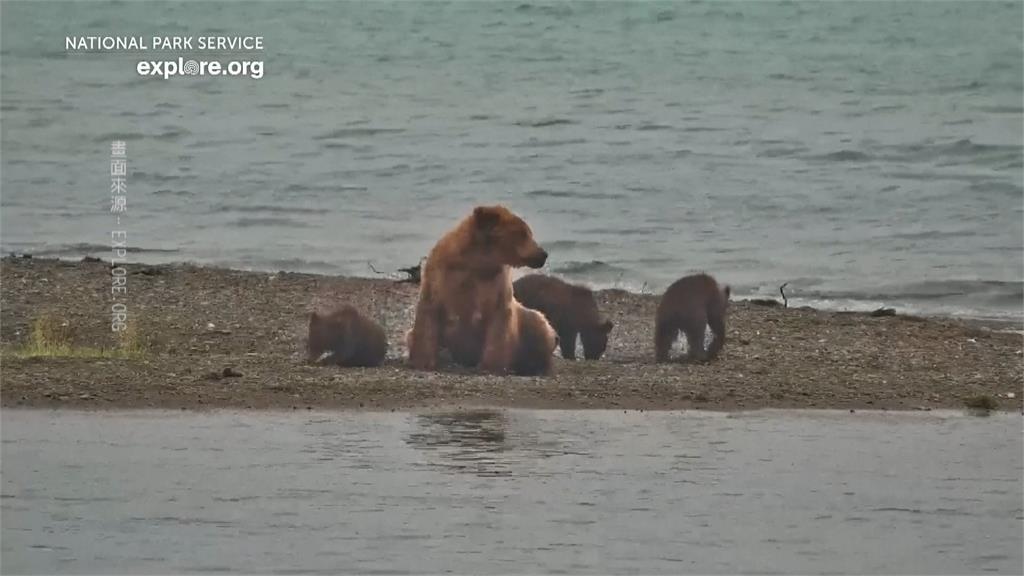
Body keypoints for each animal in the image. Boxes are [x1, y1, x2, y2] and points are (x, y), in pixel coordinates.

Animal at [407, 205, 548, 373]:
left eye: (528, 232)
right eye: (522, 233)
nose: (543, 254)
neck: (478, 262)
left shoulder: (495, 285)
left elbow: (499, 324)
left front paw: (491, 365)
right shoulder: (440, 279)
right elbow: (428, 315)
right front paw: (423, 361)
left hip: (526, 320)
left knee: (539, 325)